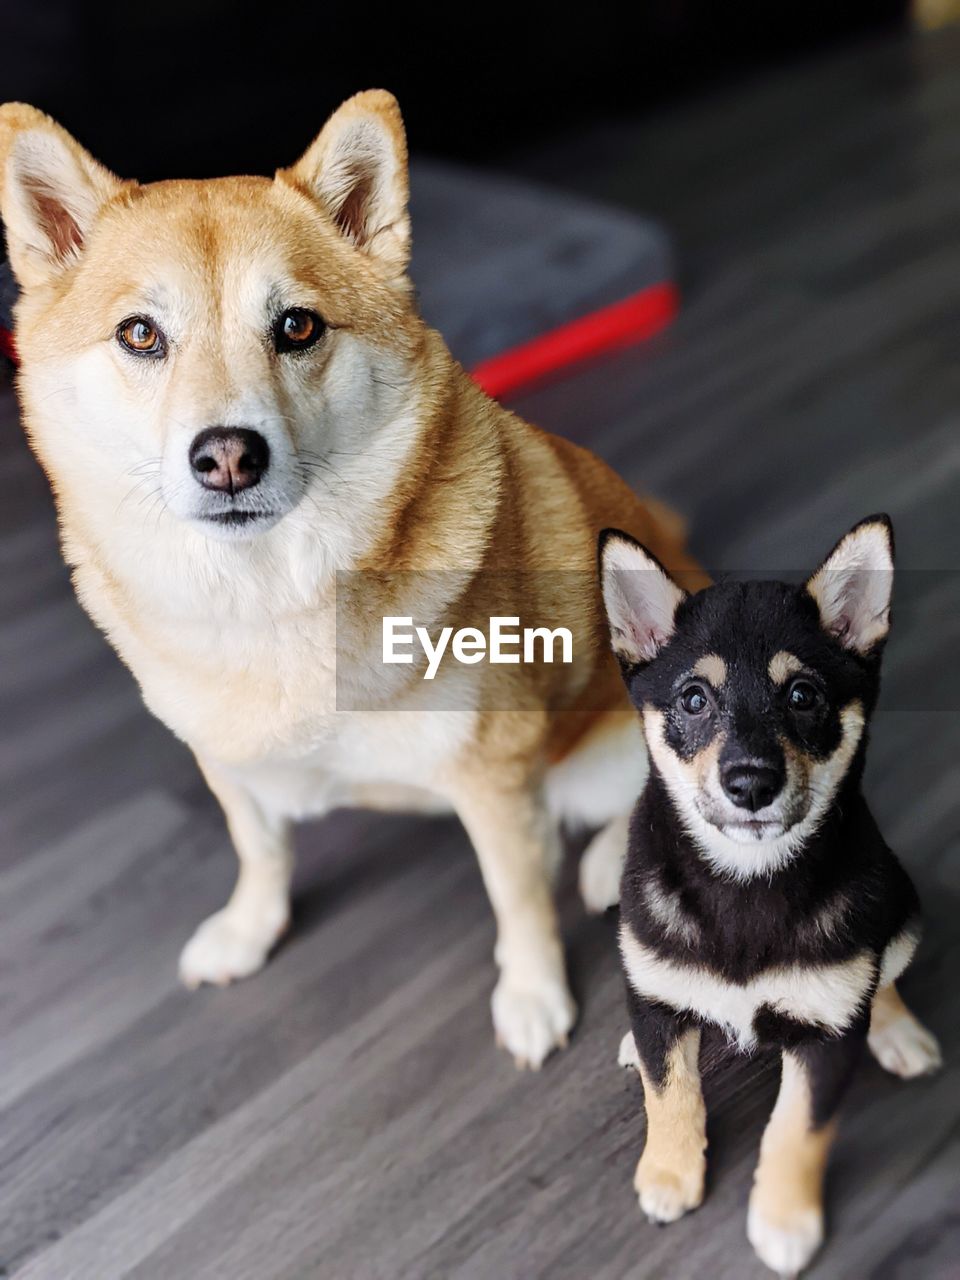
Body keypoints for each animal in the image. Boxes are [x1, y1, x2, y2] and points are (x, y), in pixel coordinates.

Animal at [0, 92, 706, 1070]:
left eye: (297, 326)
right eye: (141, 335)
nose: (229, 456)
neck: (271, 596)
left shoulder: (495, 777)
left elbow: (519, 899)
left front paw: (532, 996)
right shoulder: (223, 755)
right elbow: (259, 848)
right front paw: (250, 928)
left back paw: (607, 866)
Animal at [599, 514, 942, 1274]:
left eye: (803, 695)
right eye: (694, 699)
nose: (750, 783)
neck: (745, 883)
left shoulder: (827, 1043)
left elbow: (797, 1130)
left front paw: (784, 1220)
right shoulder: (656, 984)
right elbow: (671, 1093)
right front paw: (669, 1173)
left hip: (903, 909)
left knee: (887, 974)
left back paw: (897, 1030)